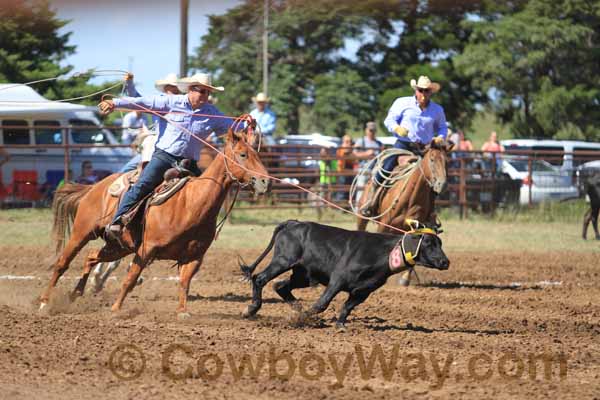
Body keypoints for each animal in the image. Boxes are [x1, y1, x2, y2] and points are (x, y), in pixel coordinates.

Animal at [39, 129, 270, 318]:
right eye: (243, 154)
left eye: (257, 154)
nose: (265, 181)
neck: (190, 203)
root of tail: (94, 187)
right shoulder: (146, 249)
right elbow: (131, 278)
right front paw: (115, 309)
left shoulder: (195, 257)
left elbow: (184, 282)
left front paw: (182, 311)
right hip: (82, 232)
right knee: (62, 263)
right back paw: (44, 303)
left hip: (118, 246)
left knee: (91, 257)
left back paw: (76, 292)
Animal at [241, 220, 448, 326]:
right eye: (428, 243)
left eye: (440, 243)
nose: (445, 262)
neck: (381, 252)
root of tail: (292, 224)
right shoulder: (338, 279)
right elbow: (322, 304)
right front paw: (305, 317)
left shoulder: (364, 291)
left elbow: (347, 307)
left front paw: (340, 324)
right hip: (283, 260)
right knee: (260, 279)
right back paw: (251, 309)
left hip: (303, 274)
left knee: (281, 286)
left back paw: (296, 309)